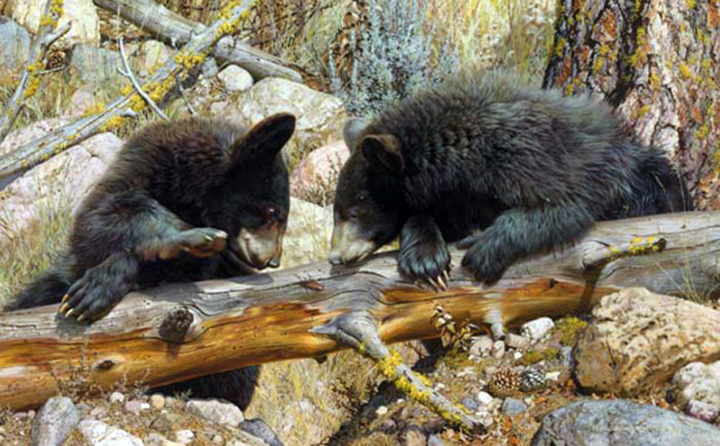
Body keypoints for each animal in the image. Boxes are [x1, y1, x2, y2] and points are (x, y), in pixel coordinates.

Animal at [5, 112, 296, 409]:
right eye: (273, 212)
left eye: (281, 214)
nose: (274, 260)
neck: (190, 196)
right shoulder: (143, 166)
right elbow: (98, 223)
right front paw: (187, 237)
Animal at [328, 71, 693, 289]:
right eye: (339, 209)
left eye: (354, 208)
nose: (335, 256)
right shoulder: (453, 199)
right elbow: (427, 218)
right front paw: (425, 258)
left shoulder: (523, 151)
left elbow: (563, 205)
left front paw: (485, 247)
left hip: (647, 179)